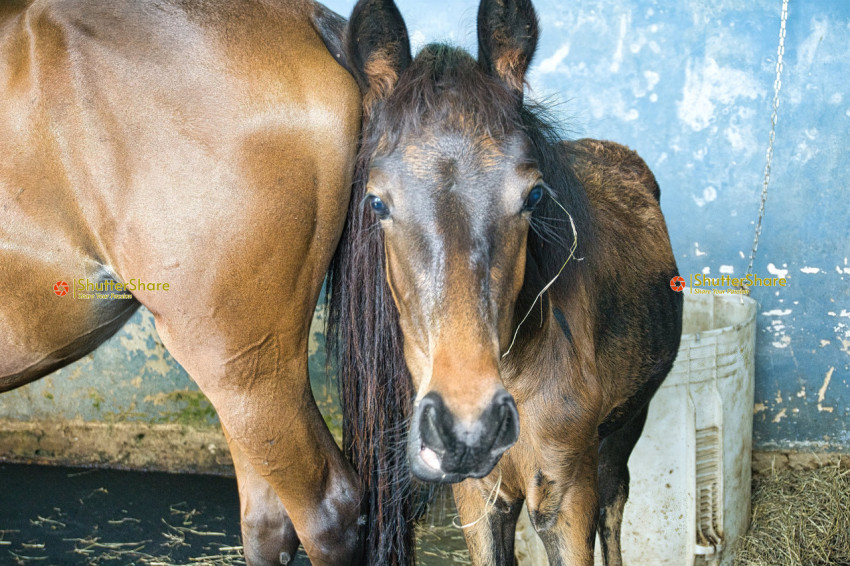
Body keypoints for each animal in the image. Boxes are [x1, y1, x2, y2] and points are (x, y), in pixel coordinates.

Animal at [324, 0, 684, 564]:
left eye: (533, 195)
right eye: (376, 202)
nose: (469, 425)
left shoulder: (566, 495)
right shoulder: (479, 498)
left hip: (626, 426)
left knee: (614, 506)